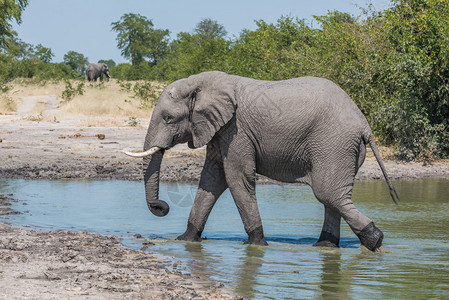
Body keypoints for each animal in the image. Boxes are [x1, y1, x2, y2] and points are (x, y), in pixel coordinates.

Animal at [123, 71, 400, 252]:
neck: (201, 84)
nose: (162, 207)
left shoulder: (237, 131)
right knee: (333, 197)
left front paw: (256, 245)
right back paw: (325, 246)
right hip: (340, 148)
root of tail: (364, 124)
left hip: (333, 144)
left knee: (328, 193)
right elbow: (212, 180)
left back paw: (375, 241)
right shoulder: (221, 131)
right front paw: (185, 240)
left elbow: (236, 178)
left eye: (168, 118)